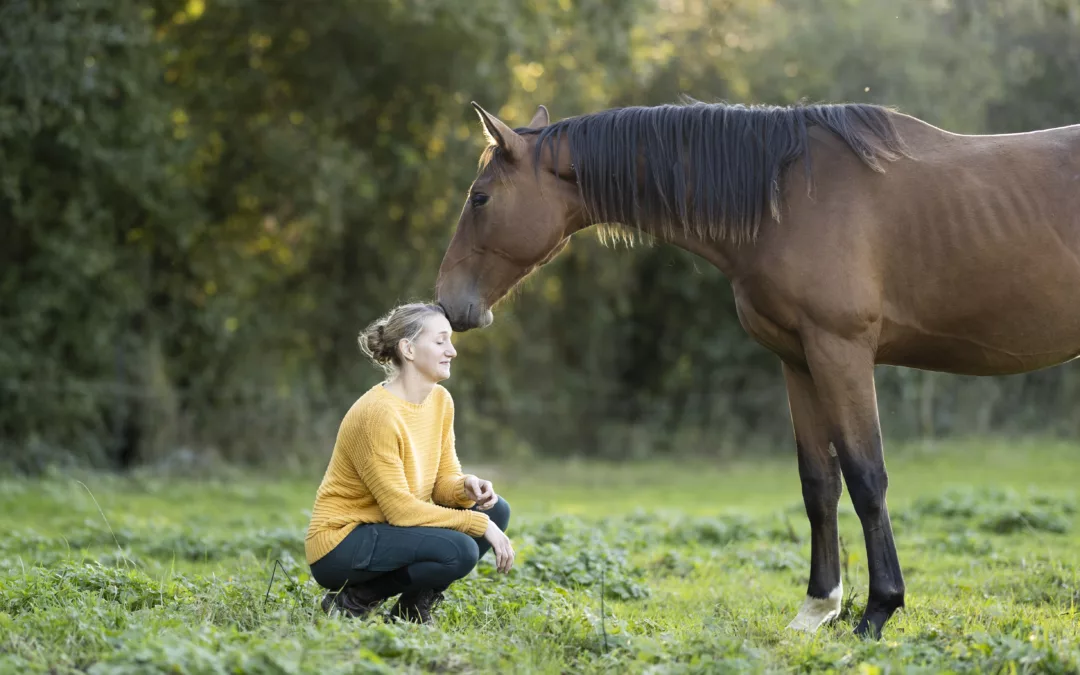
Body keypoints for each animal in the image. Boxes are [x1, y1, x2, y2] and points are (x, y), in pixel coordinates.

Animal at [434, 96, 1080, 635]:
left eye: (480, 197)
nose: (448, 303)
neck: (789, 198)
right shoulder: (799, 360)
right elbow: (819, 484)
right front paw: (818, 608)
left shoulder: (841, 352)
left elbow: (866, 478)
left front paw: (878, 611)